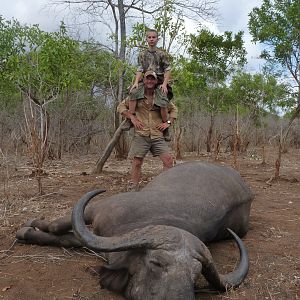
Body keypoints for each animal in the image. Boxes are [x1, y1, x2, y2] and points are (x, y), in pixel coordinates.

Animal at [16, 163, 253, 298]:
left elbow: (68, 238)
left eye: (195, 276)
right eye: (156, 263)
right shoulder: (95, 209)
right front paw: (27, 227)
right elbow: (56, 226)